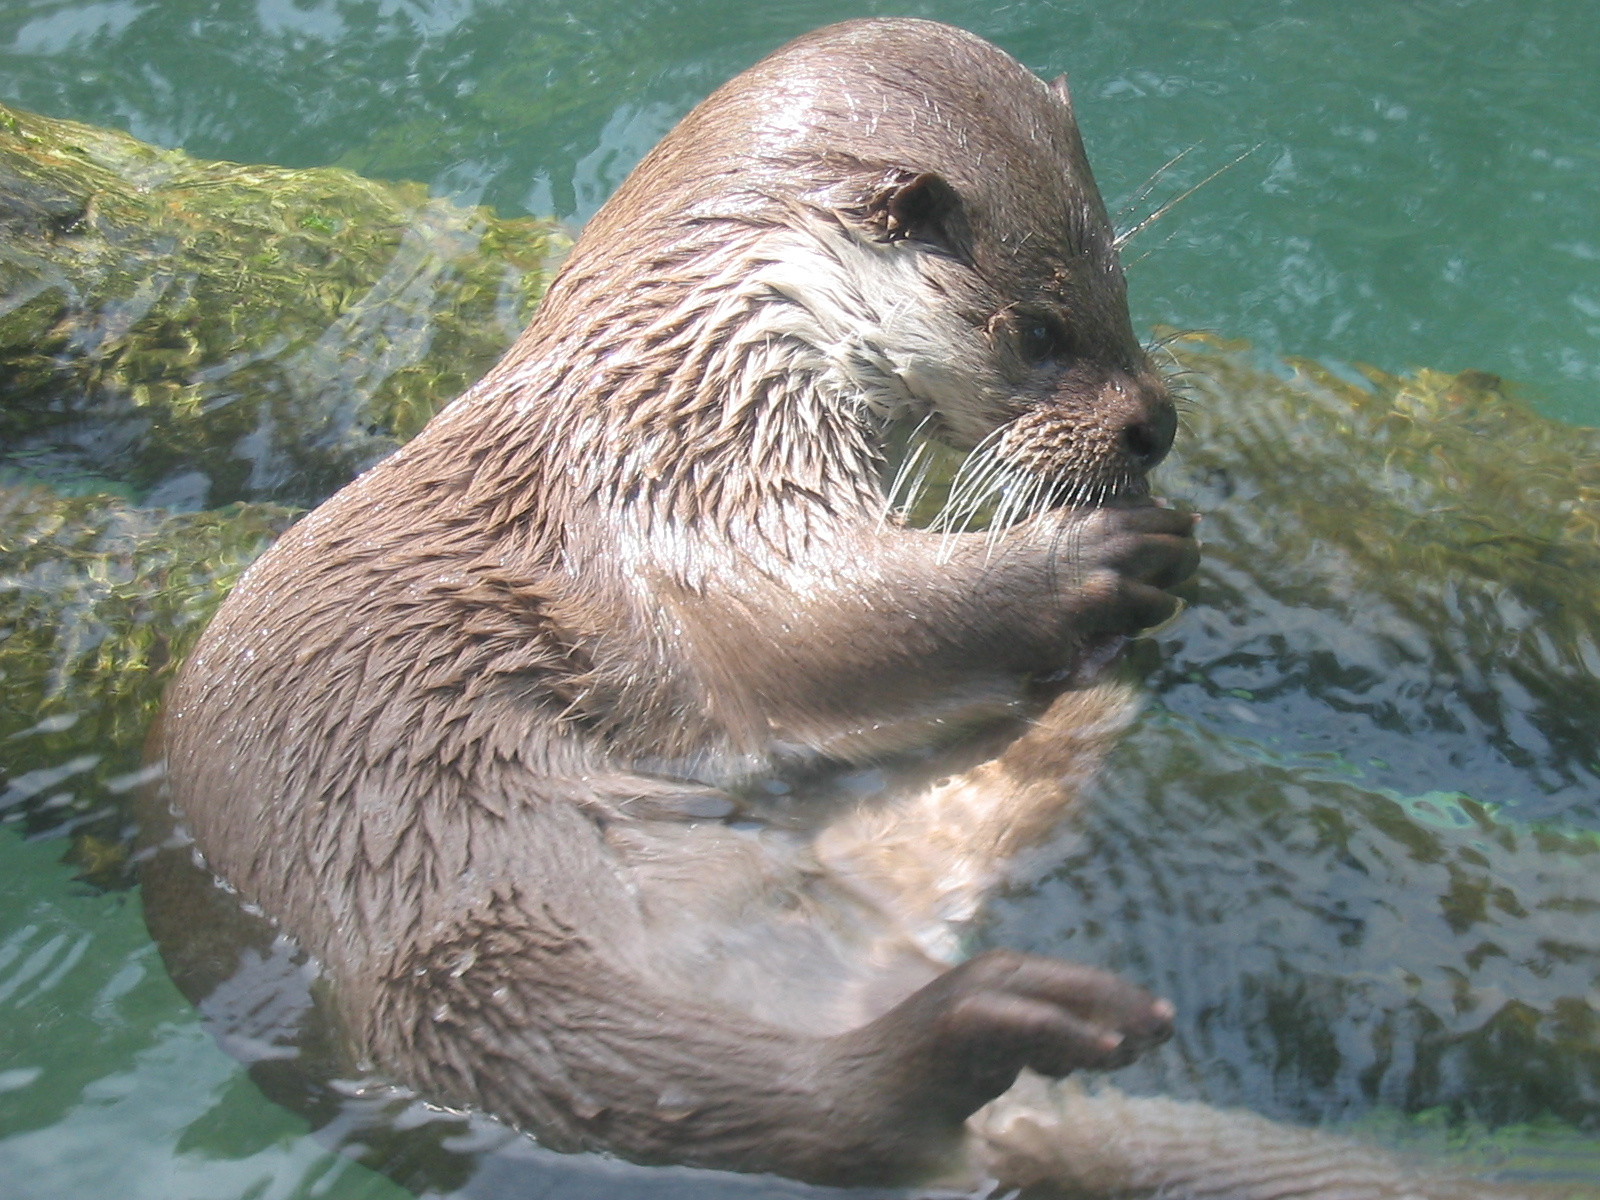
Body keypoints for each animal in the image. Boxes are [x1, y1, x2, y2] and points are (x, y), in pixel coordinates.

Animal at [152, 18, 1536, 1200]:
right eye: (1038, 329)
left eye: (1121, 295)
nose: (1154, 424)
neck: (691, 384)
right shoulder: (680, 524)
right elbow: (824, 627)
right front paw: (1081, 562)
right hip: (474, 981)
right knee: (786, 1111)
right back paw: (980, 1027)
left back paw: (1082, 740)